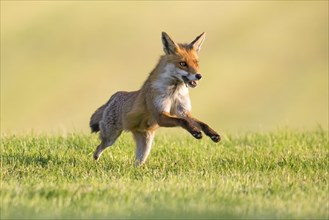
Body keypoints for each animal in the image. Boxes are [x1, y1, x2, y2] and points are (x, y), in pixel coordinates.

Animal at [89, 31, 220, 166]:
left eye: (196, 63)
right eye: (183, 63)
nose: (199, 76)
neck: (174, 92)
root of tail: (113, 96)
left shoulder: (183, 111)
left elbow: (201, 123)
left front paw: (212, 134)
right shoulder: (160, 115)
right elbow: (182, 122)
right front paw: (195, 131)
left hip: (145, 148)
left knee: (137, 162)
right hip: (111, 137)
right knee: (98, 148)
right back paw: (95, 162)